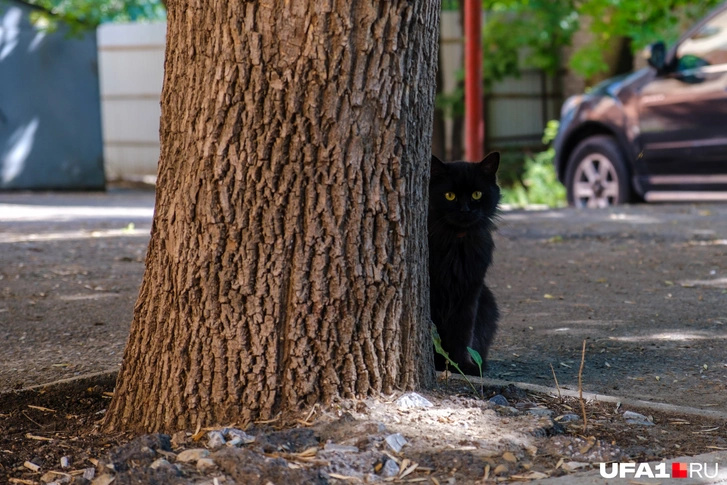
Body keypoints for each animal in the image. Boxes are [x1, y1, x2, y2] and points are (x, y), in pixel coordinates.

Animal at [426, 152, 500, 374]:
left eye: (477, 194)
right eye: (450, 195)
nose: (466, 210)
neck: (457, 244)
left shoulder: (469, 293)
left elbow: (462, 333)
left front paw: (461, 365)